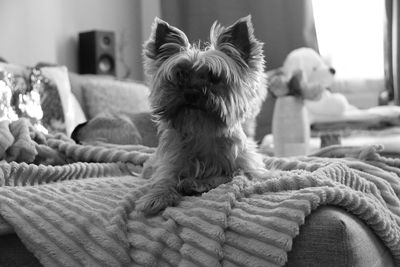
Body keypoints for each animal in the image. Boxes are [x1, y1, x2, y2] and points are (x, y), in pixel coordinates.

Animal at [137, 14, 268, 217]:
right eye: (180, 75)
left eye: (214, 77)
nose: (191, 92)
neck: (201, 129)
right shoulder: (169, 163)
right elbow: (164, 178)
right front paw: (157, 196)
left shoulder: (250, 169)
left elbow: (229, 175)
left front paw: (196, 183)